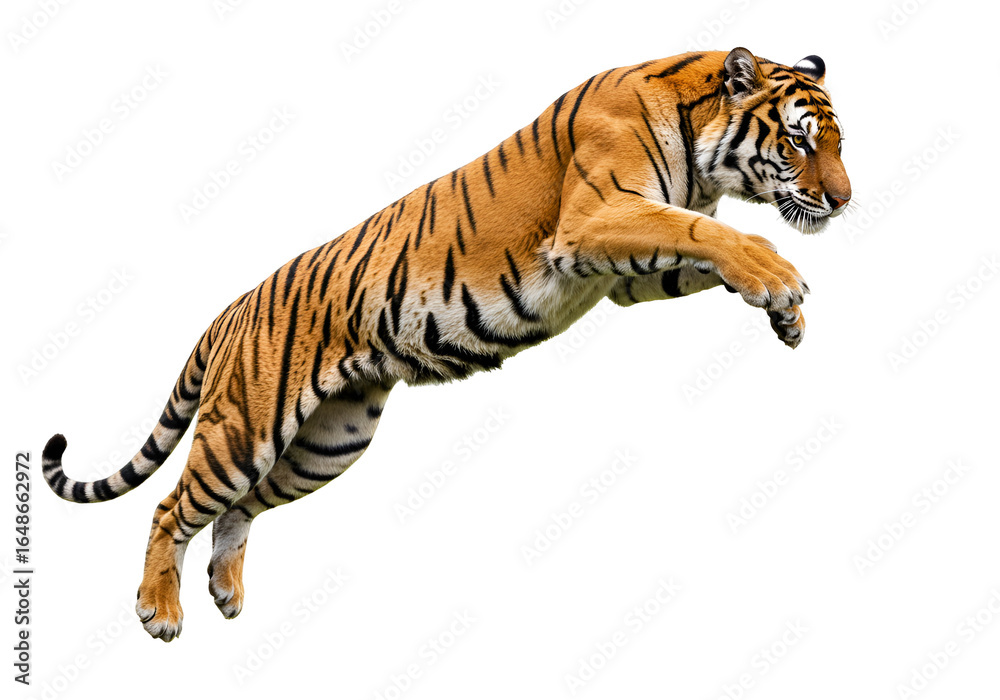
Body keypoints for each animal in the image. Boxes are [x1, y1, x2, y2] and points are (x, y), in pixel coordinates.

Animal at [43, 47, 850, 642]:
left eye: (840, 142)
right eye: (800, 139)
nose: (844, 201)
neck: (701, 154)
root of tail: (230, 312)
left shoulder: (626, 270)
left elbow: (705, 248)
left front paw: (781, 312)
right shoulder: (595, 218)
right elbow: (712, 231)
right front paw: (781, 280)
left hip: (327, 443)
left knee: (239, 508)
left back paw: (225, 591)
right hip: (244, 427)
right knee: (172, 506)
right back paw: (160, 610)